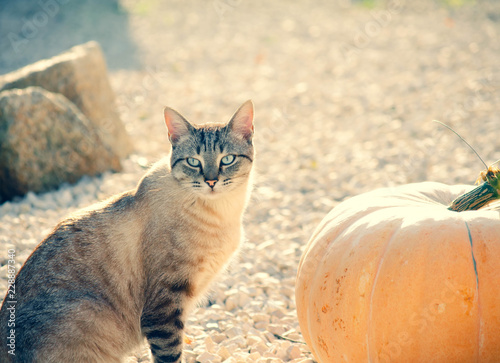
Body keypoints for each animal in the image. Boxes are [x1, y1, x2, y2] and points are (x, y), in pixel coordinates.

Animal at [0, 100, 256, 363]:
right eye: (193, 162)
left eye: (227, 159)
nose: (211, 182)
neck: (222, 214)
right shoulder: (163, 308)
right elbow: (171, 354)